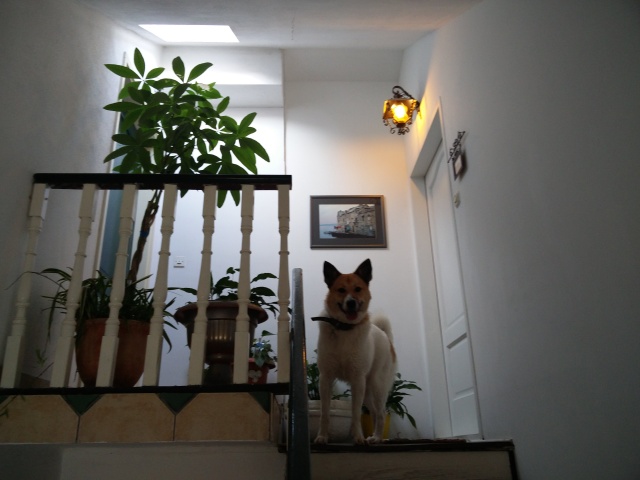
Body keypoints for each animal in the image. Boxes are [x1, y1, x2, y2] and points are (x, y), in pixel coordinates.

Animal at [313, 259, 397, 445]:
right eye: (341, 290)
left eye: (358, 289)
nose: (351, 302)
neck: (344, 328)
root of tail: (384, 335)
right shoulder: (325, 378)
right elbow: (324, 413)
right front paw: (322, 436)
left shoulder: (357, 380)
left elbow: (356, 413)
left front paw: (358, 437)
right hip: (367, 389)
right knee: (374, 412)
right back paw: (373, 437)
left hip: (376, 385)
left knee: (381, 413)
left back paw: (377, 438)